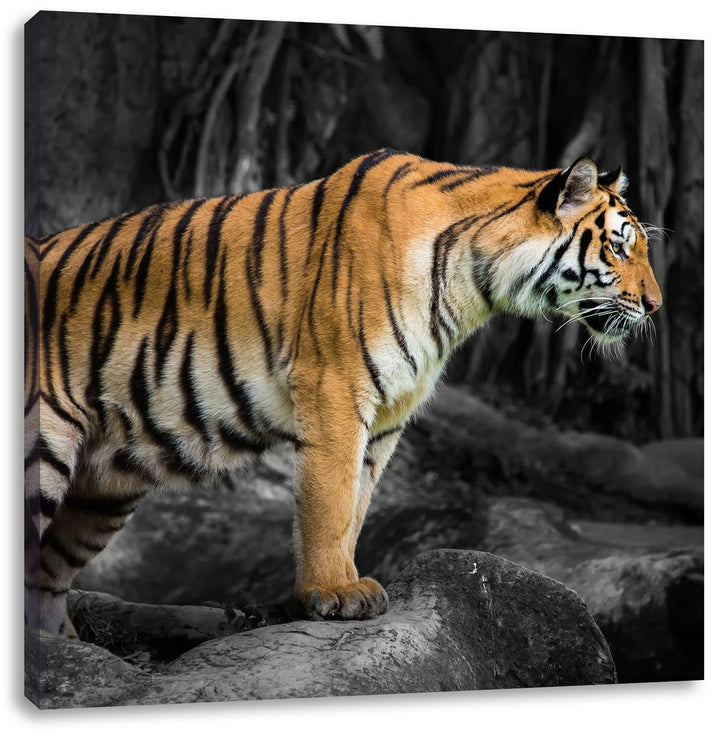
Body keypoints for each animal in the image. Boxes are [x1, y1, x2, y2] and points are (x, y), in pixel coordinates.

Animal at [24, 148, 662, 637]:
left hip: (104, 491)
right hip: (43, 448)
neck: (473, 286)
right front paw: (333, 591)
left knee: (46, 577)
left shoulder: (389, 413)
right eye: (619, 247)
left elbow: (358, 502)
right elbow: (330, 498)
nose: (656, 306)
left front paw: (349, 580)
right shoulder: (334, 385)